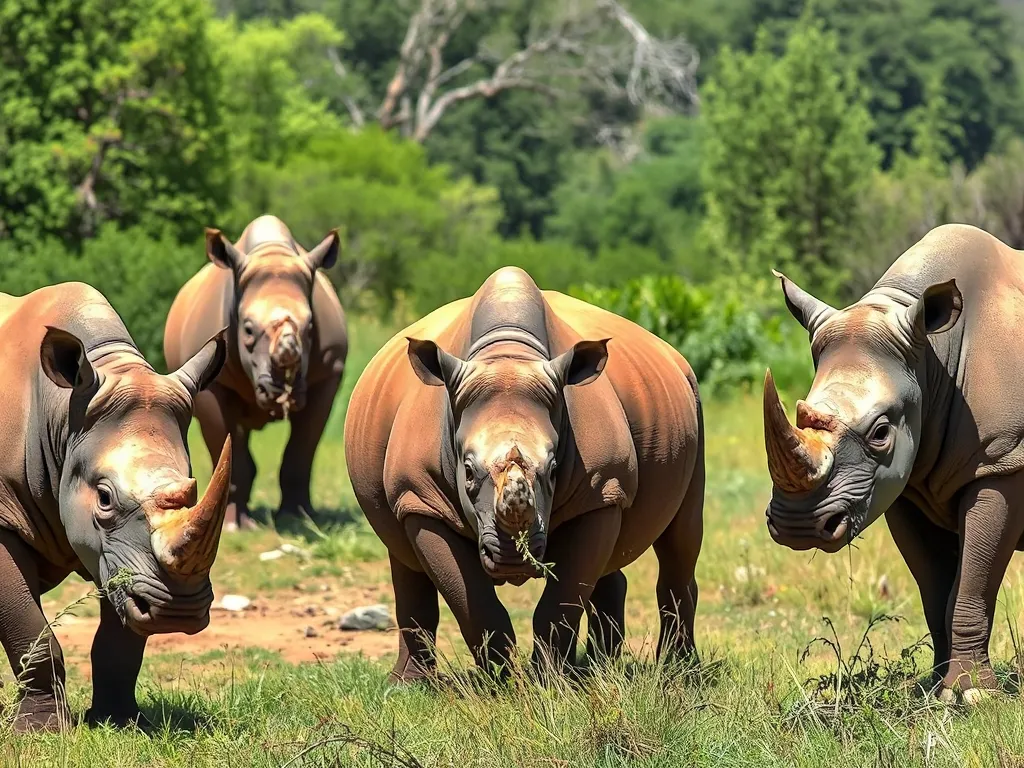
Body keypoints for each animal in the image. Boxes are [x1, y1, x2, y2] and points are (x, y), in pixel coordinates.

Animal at [0, 282, 230, 731]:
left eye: (191, 487)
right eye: (104, 498)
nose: (179, 611)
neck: (61, 416)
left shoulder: (117, 554)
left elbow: (118, 641)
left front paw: (120, 722)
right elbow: (30, 632)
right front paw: (40, 731)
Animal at [164, 215, 347, 529]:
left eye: (311, 326)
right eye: (248, 329)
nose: (279, 391)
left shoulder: (328, 375)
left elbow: (302, 449)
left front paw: (297, 519)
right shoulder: (213, 385)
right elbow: (225, 445)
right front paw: (234, 526)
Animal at [345, 267, 704, 679]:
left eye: (553, 468)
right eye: (467, 470)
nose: (514, 560)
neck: (507, 353)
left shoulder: (601, 490)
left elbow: (562, 599)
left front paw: (550, 681)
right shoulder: (421, 496)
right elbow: (470, 600)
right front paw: (501, 681)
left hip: (692, 395)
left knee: (681, 537)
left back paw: (671, 671)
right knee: (402, 557)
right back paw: (410, 684)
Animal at [763, 223, 1024, 702]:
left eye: (881, 432)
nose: (797, 527)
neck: (932, 358)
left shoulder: (1002, 461)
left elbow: (971, 586)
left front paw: (975, 695)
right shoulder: (902, 485)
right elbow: (935, 592)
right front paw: (937, 689)